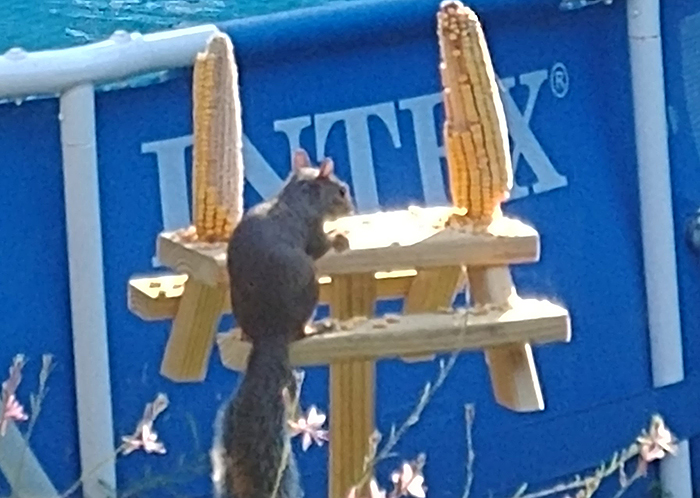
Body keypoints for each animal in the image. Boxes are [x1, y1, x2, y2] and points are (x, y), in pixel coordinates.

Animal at [211, 148, 356, 498]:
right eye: (340, 191)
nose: (351, 207)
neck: (297, 193)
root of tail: (269, 333)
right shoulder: (312, 230)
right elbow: (320, 247)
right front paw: (341, 238)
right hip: (309, 284)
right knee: (301, 331)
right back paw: (318, 327)